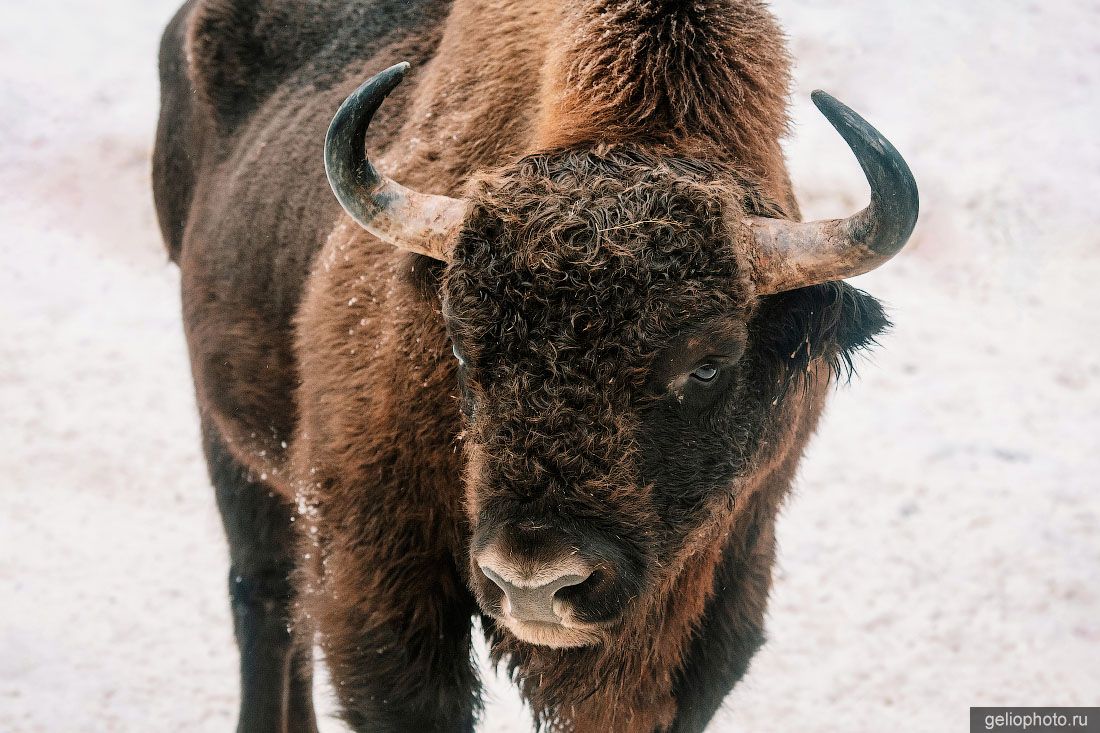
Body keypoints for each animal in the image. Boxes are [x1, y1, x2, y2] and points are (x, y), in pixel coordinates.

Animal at [150, 0, 915, 726]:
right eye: (462, 345)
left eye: (708, 364)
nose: (536, 583)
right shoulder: (376, 586)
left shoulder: (722, 597)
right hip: (235, 444)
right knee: (265, 600)